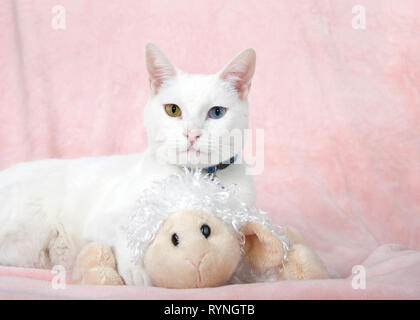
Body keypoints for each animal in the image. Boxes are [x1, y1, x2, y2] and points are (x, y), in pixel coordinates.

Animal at [0, 43, 256, 284]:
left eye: (216, 112)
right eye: (173, 110)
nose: (191, 134)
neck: (194, 178)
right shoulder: (99, 220)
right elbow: (125, 229)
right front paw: (136, 270)